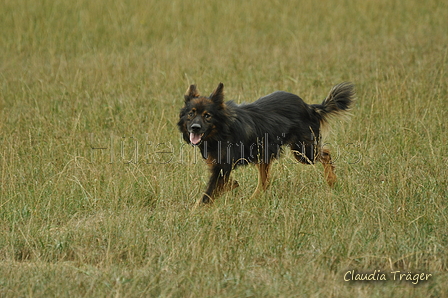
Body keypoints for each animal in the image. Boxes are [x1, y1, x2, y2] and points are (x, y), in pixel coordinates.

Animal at [177, 82, 356, 203]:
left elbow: (206, 196)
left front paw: (194, 214)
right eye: (191, 114)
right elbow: (224, 184)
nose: (194, 128)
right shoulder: (218, 166)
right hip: (265, 154)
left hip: (303, 152)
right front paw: (233, 185)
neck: (221, 130)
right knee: (264, 182)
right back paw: (253, 199)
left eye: (207, 116)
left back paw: (332, 180)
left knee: (325, 153)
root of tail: (309, 106)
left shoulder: (222, 168)